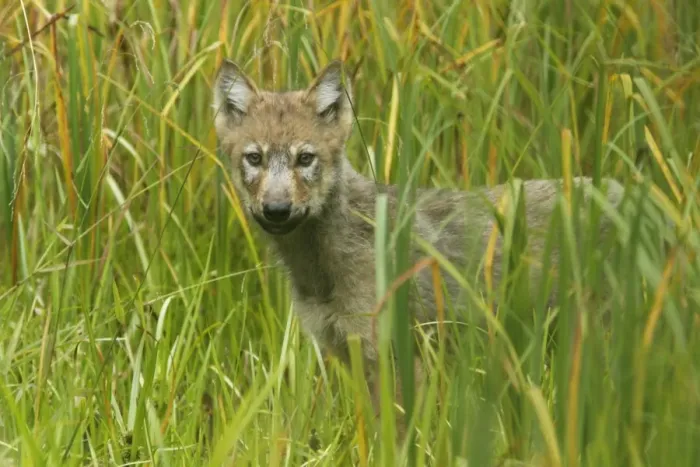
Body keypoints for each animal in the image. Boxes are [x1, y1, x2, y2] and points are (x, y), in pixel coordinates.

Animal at [212, 58, 626, 429]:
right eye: (254, 158)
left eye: (305, 158)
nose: (277, 210)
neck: (320, 271)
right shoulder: (348, 353)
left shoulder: (396, 359)